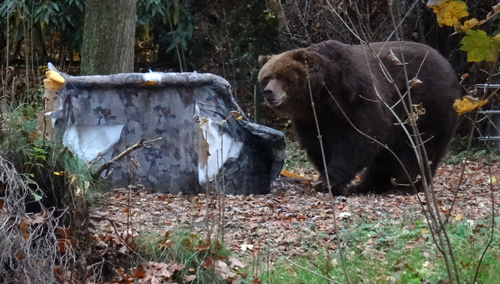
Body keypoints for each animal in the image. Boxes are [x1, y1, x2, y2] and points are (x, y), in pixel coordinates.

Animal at [260, 40, 462, 195]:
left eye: (282, 76)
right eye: (266, 77)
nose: (268, 92)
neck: (322, 94)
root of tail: (449, 66)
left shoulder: (356, 94)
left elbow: (360, 139)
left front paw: (328, 181)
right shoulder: (312, 118)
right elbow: (319, 145)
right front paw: (325, 177)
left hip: (425, 105)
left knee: (420, 146)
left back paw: (406, 185)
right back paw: (368, 185)